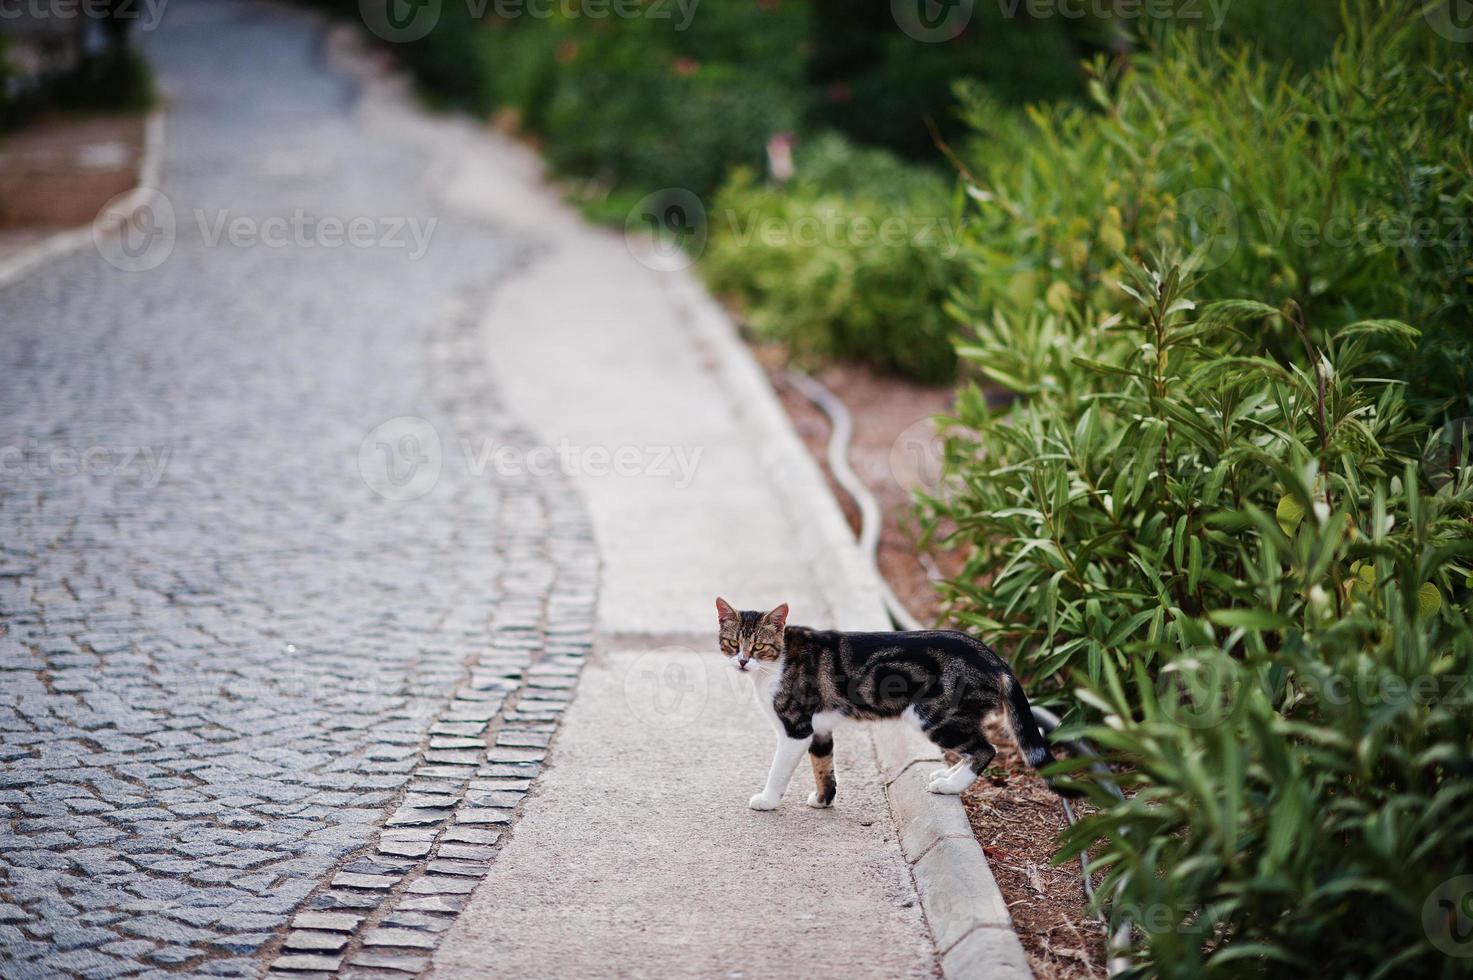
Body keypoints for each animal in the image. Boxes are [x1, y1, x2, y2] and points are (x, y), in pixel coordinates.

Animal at [712, 595, 1060, 807]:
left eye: (758, 647)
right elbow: (823, 764)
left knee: (985, 749)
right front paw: (824, 799)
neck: (775, 664)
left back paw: (951, 786)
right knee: (975, 748)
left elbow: (779, 769)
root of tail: (997, 660)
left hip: (937, 716)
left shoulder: (796, 728)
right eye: (731, 643)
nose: (742, 661)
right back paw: (946, 777)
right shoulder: (818, 728)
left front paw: (768, 800)